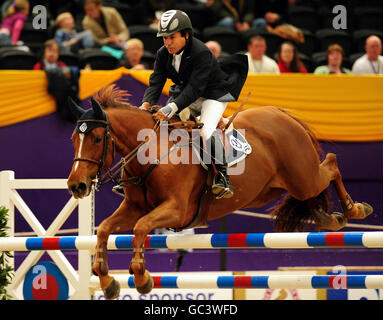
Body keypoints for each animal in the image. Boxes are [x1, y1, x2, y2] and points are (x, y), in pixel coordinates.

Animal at [67, 84, 374, 298]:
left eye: (97, 138)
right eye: (73, 139)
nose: (76, 186)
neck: (151, 152)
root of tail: (280, 114)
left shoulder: (178, 210)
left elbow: (141, 228)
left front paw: (142, 278)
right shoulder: (135, 208)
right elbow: (105, 229)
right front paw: (107, 281)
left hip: (303, 177)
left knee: (331, 164)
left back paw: (354, 209)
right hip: (277, 188)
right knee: (314, 190)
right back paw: (329, 218)